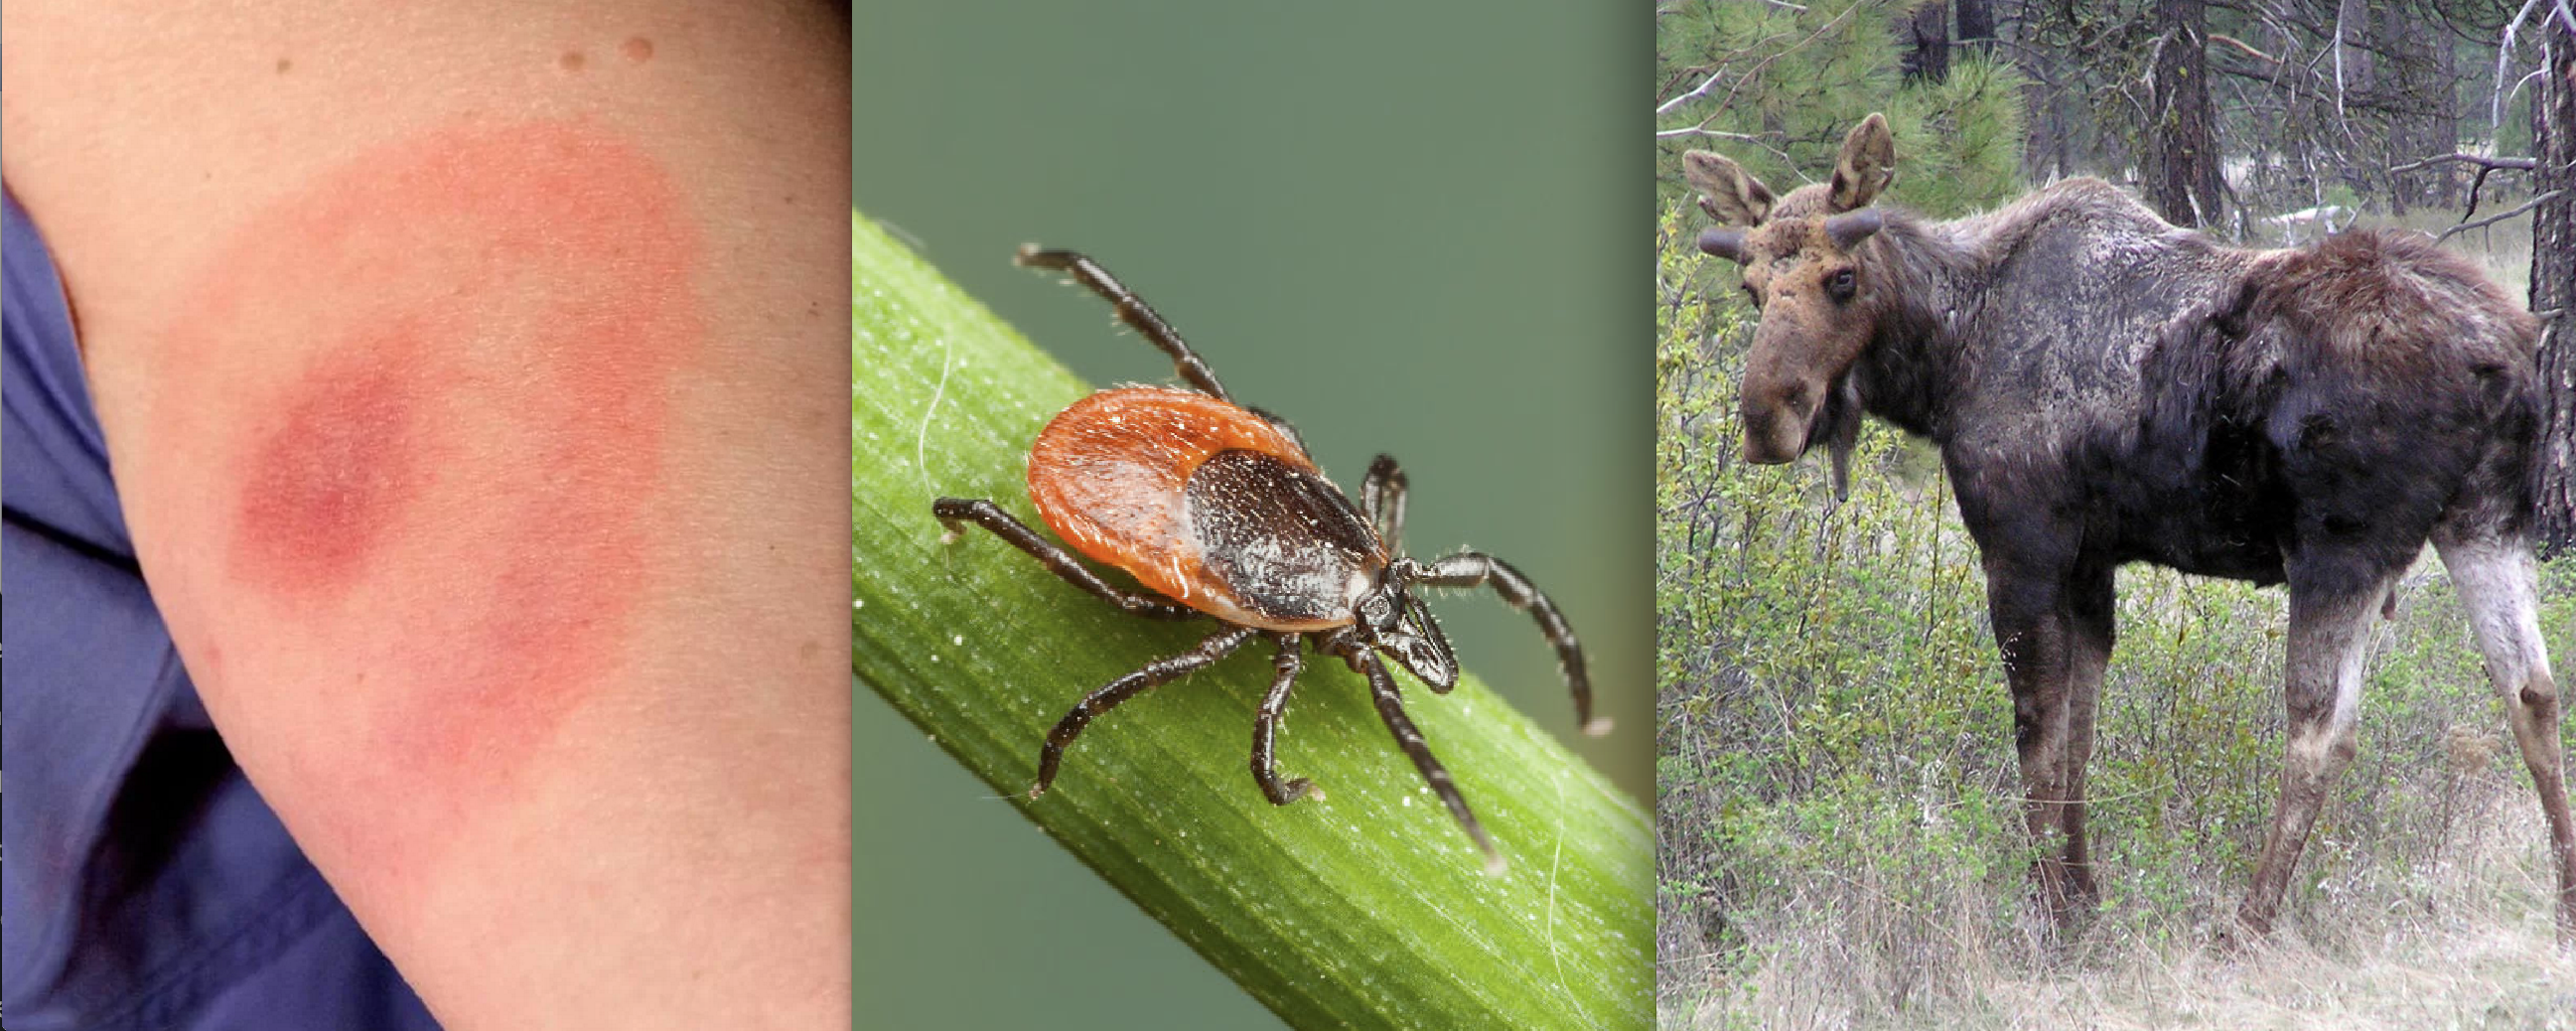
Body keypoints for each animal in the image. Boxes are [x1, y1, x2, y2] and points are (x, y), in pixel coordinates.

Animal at [1679, 114, 2565, 943]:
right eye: (1750, 286)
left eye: (1841, 278)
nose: (1765, 419)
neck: (1945, 356)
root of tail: (2504, 355)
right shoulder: (2090, 562)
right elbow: (2080, 730)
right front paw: (2084, 898)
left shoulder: (2023, 545)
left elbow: (2037, 734)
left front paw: (2048, 914)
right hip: (2486, 520)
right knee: (2533, 690)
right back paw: (2563, 887)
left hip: (2340, 546)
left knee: (2324, 732)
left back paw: (2248, 922)